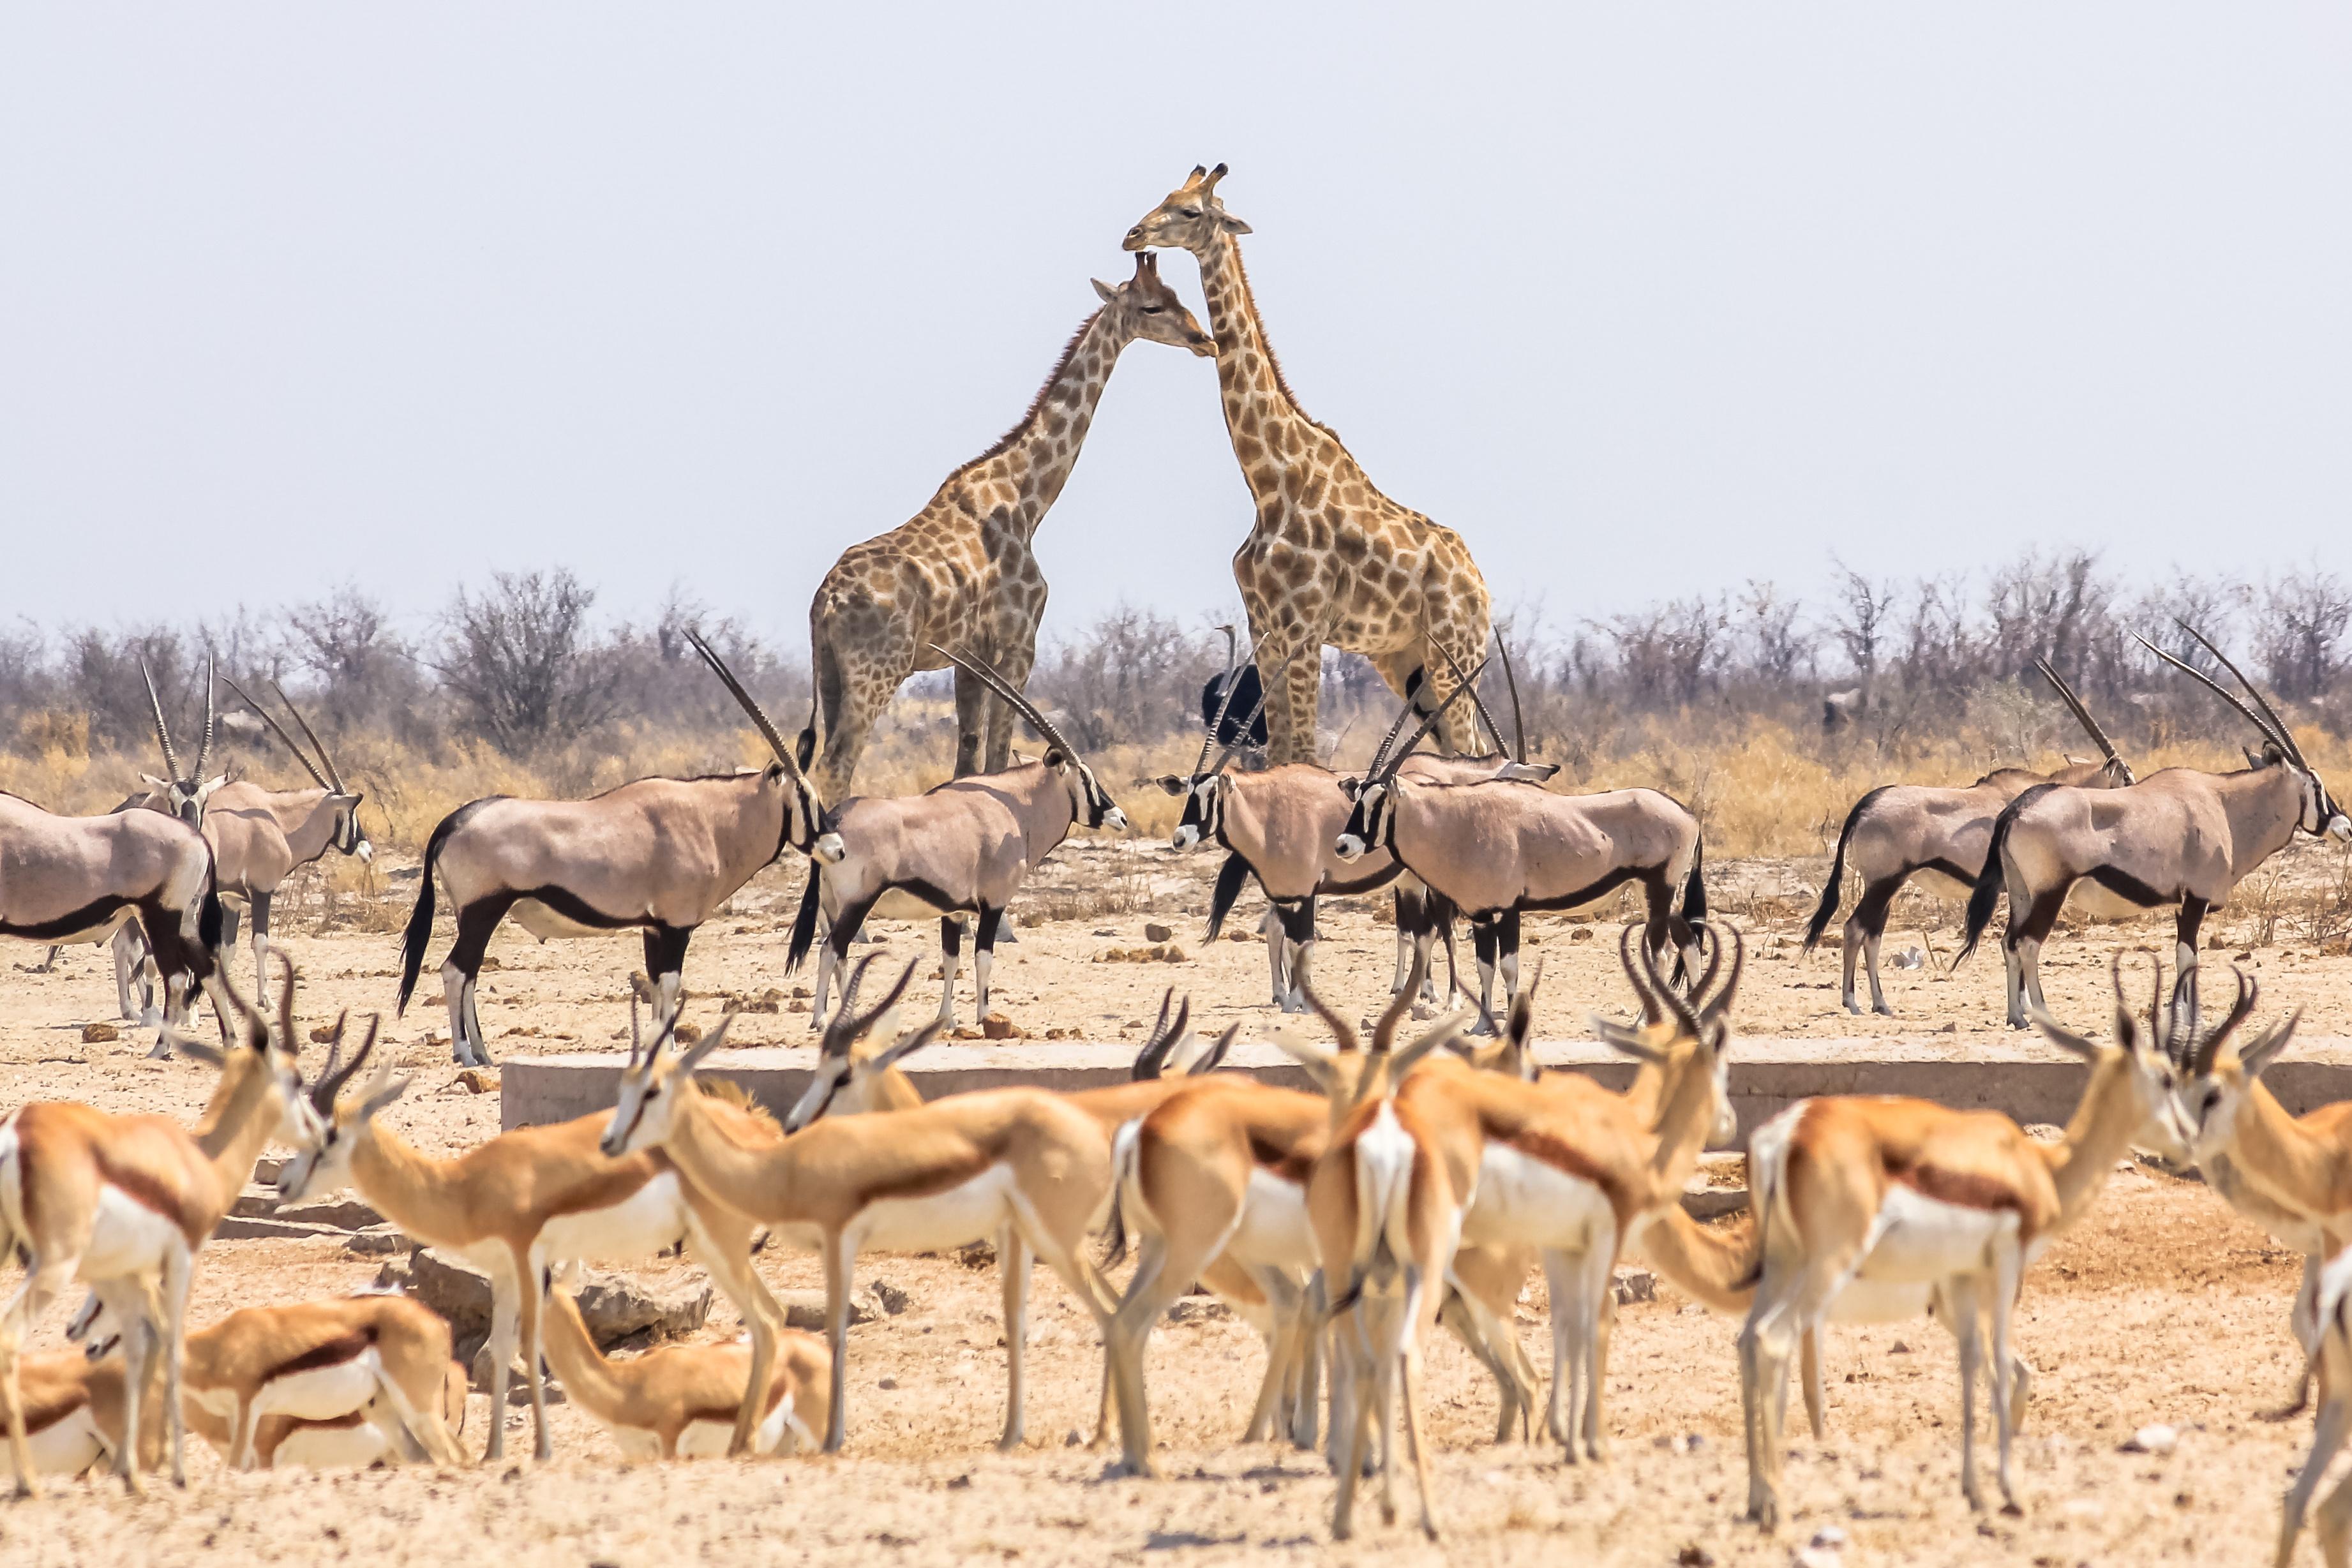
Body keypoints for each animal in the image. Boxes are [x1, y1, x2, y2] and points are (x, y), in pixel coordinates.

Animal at [798, 252, 1215, 801]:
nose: (1203, 339)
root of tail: (826, 600)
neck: (1026, 496)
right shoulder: (1018, 644)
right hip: (877, 670)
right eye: (1152, 306)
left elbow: (967, 763)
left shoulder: (967, 658)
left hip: (829, 671)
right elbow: (997, 757)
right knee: (836, 765)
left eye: (1177, 295)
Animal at [1124, 164, 1493, 766]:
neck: (1268, 482)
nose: (1132, 235)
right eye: (1164, 195)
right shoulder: (1265, 628)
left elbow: (1302, 752)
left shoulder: (1303, 626)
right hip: (1406, 661)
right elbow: (1282, 752)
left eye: (1189, 211)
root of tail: (1480, 585)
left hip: (1455, 652)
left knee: (1470, 747)